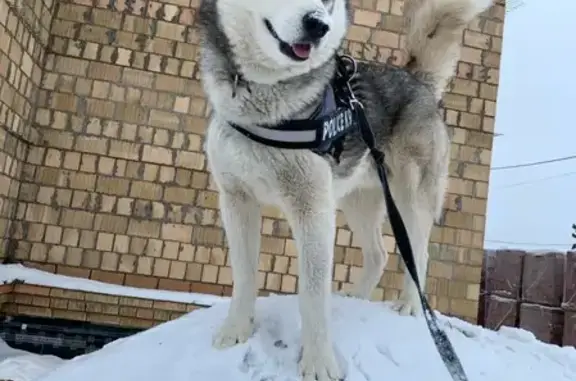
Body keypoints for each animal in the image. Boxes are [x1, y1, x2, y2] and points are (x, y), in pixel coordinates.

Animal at [197, 0, 490, 378]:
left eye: (328, 3)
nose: (317, 25)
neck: (268, 109)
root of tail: (416, 79)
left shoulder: (312, 207)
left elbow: (312, 294)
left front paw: (319, 363)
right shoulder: (236, 200)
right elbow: (244, 275)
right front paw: (235, 331)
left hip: (409, 197)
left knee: (418, 253)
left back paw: (411, 305)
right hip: (358, 202)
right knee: (378, 254)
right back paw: (357, 297)